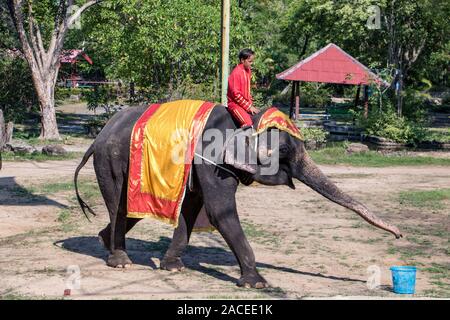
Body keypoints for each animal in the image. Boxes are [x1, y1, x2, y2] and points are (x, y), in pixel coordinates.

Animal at [74, 102, 400, 288]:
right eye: (285, 150)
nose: (399, 235)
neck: (246, 123)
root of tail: (98, 136)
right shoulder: (211, 159)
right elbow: (220, 211)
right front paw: (258, 284)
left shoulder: (201, 165)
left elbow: (192, 209)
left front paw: (173, 267)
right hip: (110, 160)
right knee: (118, 205)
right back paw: (121, 261)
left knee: (126, 210)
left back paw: (105, 242)